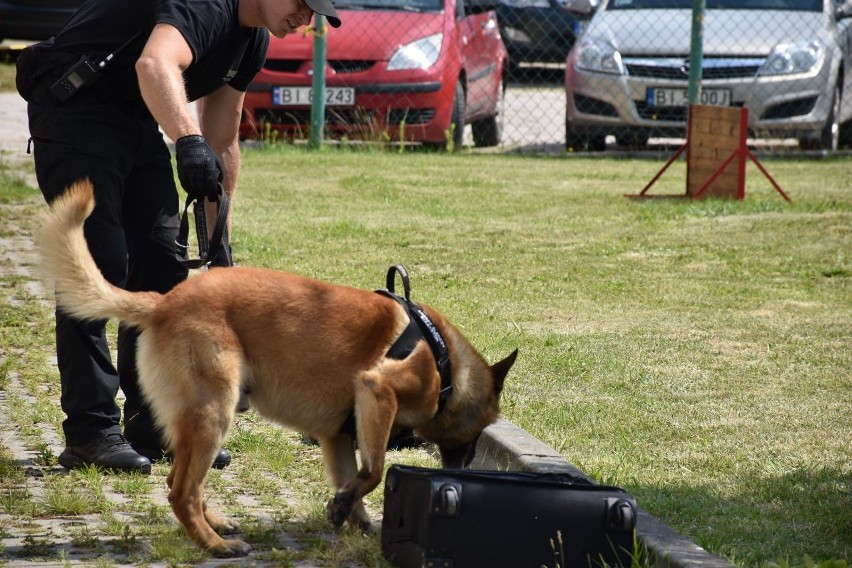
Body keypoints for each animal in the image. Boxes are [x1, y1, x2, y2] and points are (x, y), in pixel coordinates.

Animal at [40, 180, 516, 556]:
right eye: (479, 434)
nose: (463, 470)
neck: (446, 364)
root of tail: (164, 302)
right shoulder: (377, 393)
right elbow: (376, 469)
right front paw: (350, 509)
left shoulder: (338, 436)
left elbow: (355, 479)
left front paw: (353, 516)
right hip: (214, 413)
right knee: (180, 492)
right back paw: (216, 545)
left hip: (198, 420)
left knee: (178, 477)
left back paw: (217, 524)